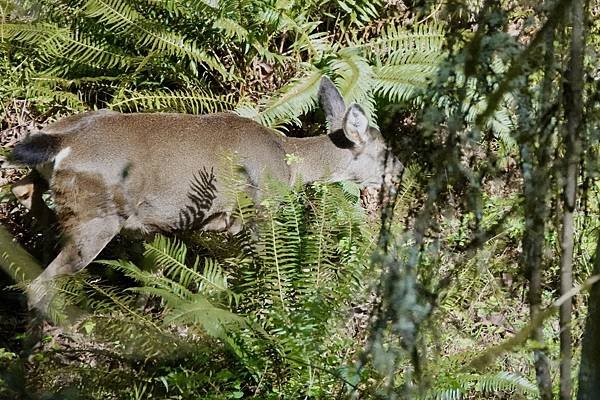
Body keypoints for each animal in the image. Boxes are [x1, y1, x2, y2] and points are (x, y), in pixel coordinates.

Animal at [9, 77, 404, 316]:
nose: (402, 170)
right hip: (98, 215)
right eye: (385, 151)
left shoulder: (158, 228)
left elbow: (154, 275)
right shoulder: (258, 211)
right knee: (39, 284)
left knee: (23, 192)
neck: (289, 165)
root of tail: (65, 141)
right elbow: (263, 268)